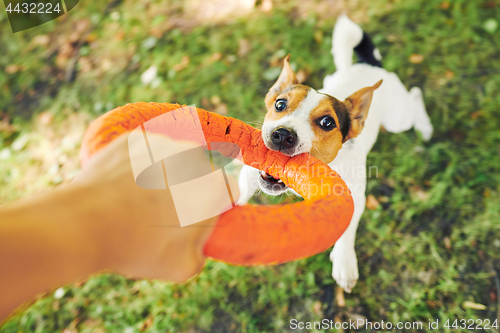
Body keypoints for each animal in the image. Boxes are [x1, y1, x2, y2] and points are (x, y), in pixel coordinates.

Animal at [236, 15, 432, 290]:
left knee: (415, 95)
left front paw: (344, 262)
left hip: (398, 118)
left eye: (327, 122)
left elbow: (346, 231)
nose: (282, 135)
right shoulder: (250, 173)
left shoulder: (354, 198)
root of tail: (369, 64)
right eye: (280, 104)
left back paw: (425, 128)